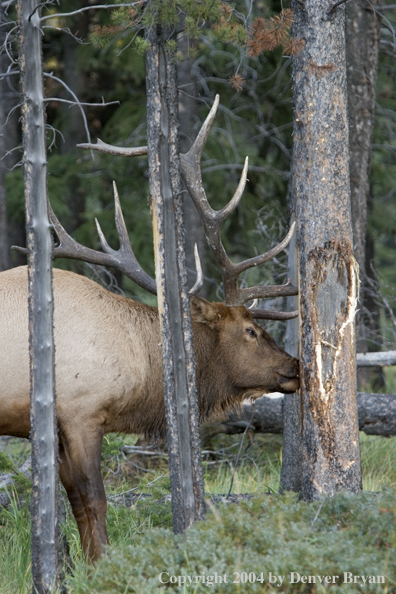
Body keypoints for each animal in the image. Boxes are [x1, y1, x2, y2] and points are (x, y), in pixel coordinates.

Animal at [0, 95, 298, 556]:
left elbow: (76, 501)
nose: (296, 366)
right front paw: (102, 561)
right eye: (250, 330)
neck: (142, 369)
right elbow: (93, 497)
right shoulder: (81, 411)